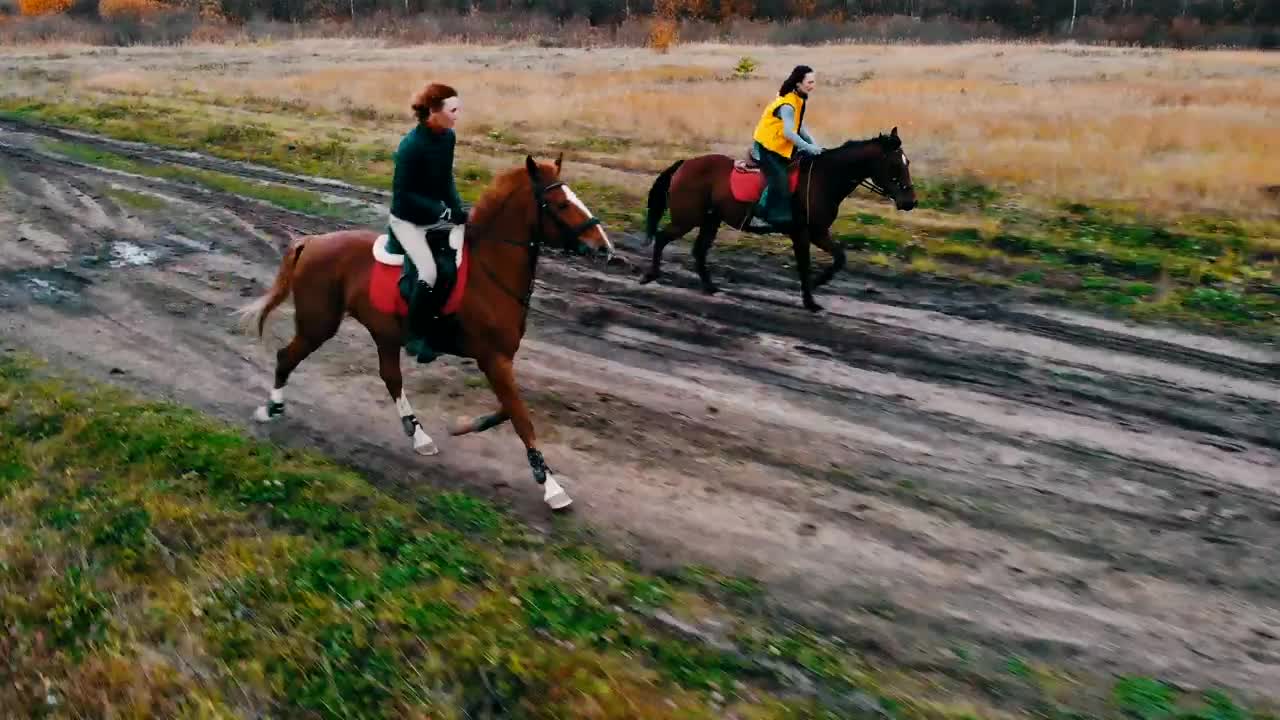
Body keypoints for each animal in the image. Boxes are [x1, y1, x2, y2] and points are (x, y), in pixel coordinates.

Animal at [236, 153, 614, 507]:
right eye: (562, 204)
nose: (605, 248)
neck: (489, 271)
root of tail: (312, 242)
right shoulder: (493, 358)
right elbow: (521, 417)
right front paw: (550, 485)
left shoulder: (500, 359)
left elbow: (512, 408)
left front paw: (466, 426)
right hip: (319, 324)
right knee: (286, 357)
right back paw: (270, 409)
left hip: (383, 332)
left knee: (390, 377)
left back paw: (418, 435)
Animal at [645, 126, 916, 311]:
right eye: (894, 164)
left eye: (908, 162)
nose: (910, 201)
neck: (823, 179)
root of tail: (684, 164)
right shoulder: (803, 233)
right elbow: (805, 265)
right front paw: (810, 299)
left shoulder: (818, 232)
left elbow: (840, 258)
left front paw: (815, 285)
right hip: (687, 218)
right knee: (662, 237)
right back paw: (651, 275)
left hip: (710, 220)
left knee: (698, 251)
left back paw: (710, 287)